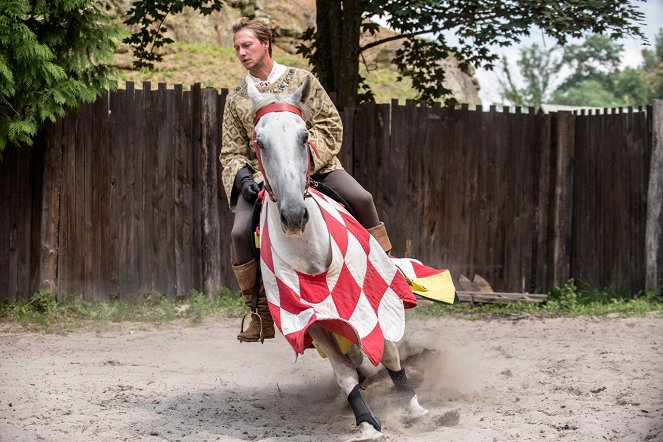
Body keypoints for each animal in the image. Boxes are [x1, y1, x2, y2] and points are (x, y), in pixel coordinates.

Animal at [246, 77, 428, 440]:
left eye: (305, 136)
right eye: (260, 141)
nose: (293, 215)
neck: (312, 256)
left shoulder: (373, 301)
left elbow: (388, 352)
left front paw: (412, 406)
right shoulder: (312, 321)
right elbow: (344, 372)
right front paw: (367, 422)